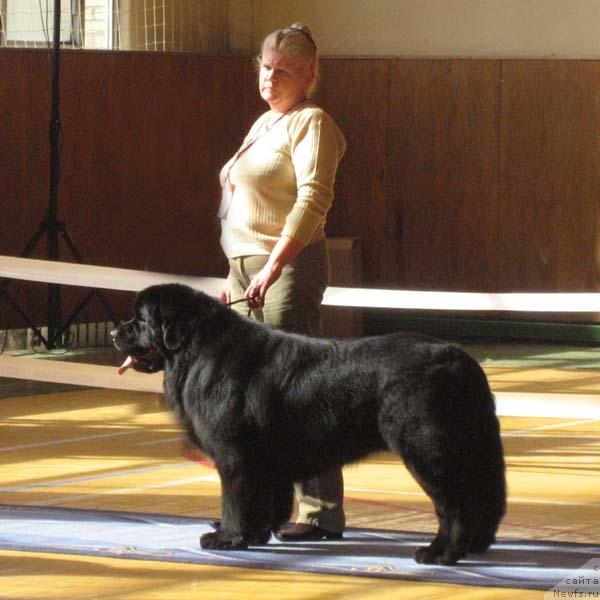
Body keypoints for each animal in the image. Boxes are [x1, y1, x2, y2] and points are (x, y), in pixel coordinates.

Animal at [112, 284, 506, 564]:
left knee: (454, 505)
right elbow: (267, 501)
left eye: (140, 319)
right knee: (484, 496)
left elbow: (235, 500)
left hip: (428, 450)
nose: (116, 333)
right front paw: (255, 535)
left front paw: (226, 537)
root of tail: (459, 358)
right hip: (475, 447)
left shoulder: (234, 455)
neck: (197, 349)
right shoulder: (267, 462)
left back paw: (441, 553)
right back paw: (475, 544)